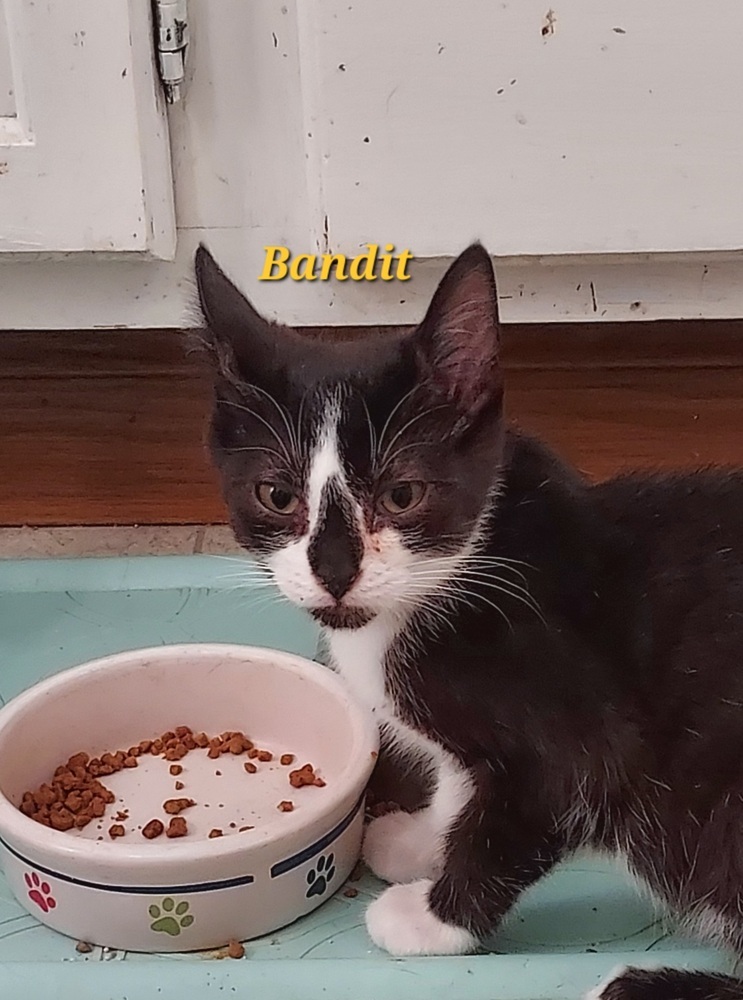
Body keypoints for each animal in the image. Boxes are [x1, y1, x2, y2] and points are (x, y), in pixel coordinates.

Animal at [195, 244, 743, 1000]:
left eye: (402, 494)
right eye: (276, 495)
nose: (334, 572)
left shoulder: (581, 734)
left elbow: (518, 817)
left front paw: (429, 917)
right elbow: (464, 786)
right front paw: (421, 839)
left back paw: (637, 985)